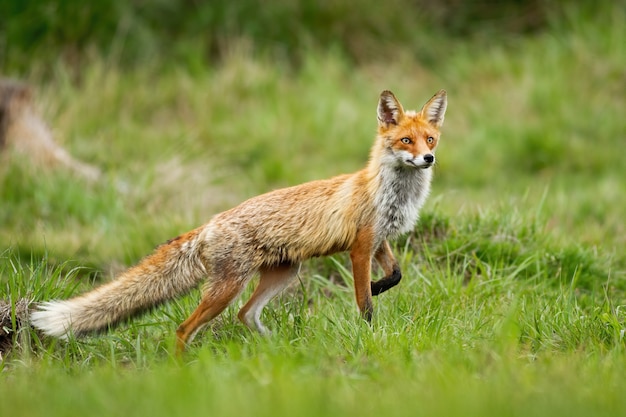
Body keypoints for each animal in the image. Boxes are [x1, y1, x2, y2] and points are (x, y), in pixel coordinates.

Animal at [31, 89, 446, 352]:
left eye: (430, 139)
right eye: (406, 142)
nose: (428, 159)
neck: (391, 194)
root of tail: (211, 222)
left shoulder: (380, 239)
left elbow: (396, 274)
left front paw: (380, 285)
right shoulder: (360, 247)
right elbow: (364, 304)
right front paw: (369, 330)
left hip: (283, 275)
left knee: (245, 315)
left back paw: (274, 349)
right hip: (227, 289)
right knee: (183, 329)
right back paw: (181, 371)